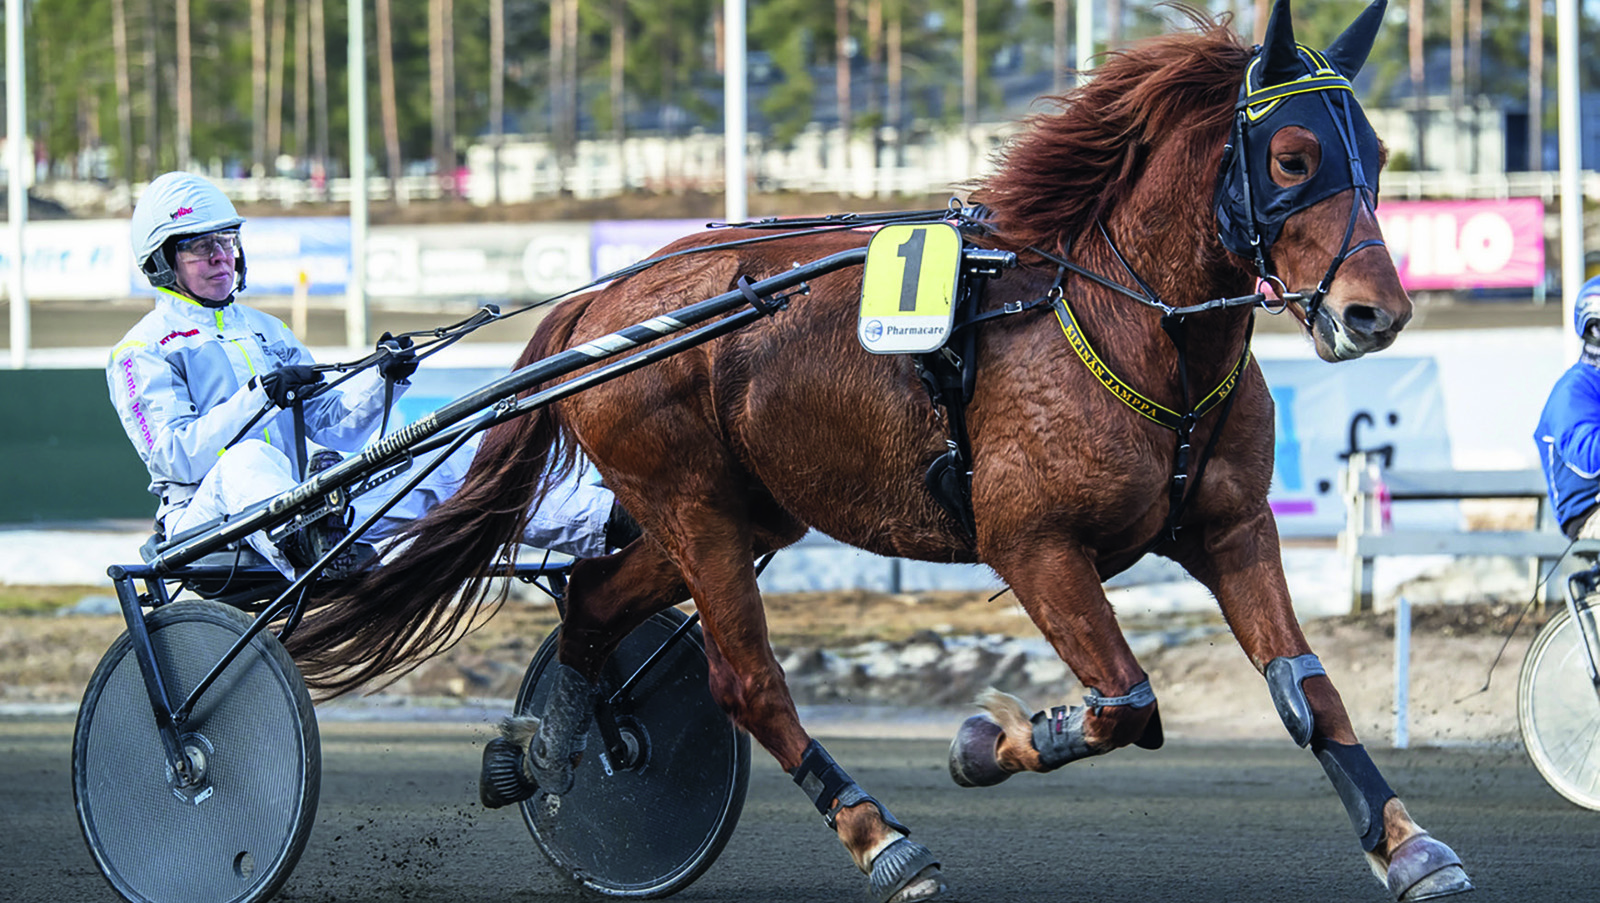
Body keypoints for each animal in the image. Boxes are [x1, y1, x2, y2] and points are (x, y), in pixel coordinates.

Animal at [291, 1, 1472, 903]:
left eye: (1375, 156)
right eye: (1292, 157)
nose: (1375, 312)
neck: (1129, 325)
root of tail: (608, 301)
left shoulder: (1228, 526)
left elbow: (1307, 692)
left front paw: (1408, 844)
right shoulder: (1032, 544)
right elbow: (1126, 704)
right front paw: (985, 741)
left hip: (738, 509)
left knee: (591, 598)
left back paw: (551, 743)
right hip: (692, 507)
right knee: (745, 679)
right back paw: (879, 837)